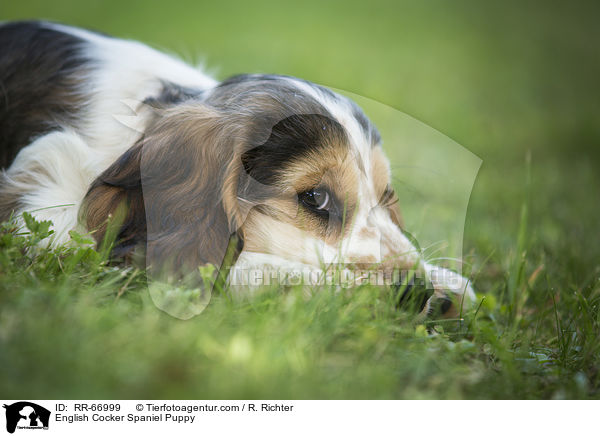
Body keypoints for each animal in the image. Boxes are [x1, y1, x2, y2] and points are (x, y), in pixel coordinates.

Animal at [0, 20, 476, 316]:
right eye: (315, 197)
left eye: (385, 196)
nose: (415, 292)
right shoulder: (41, 199)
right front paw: (303, 282)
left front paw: (447, 284)